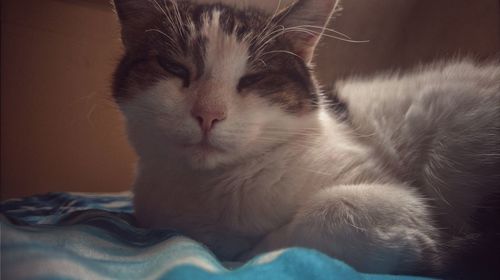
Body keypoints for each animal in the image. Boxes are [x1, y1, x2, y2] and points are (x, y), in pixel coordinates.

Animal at [112, 0, 500, 276]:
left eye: (253, 79)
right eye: (174, 67)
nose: (209, 114)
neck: (215, 189)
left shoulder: (397, 202)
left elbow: (315, 220)